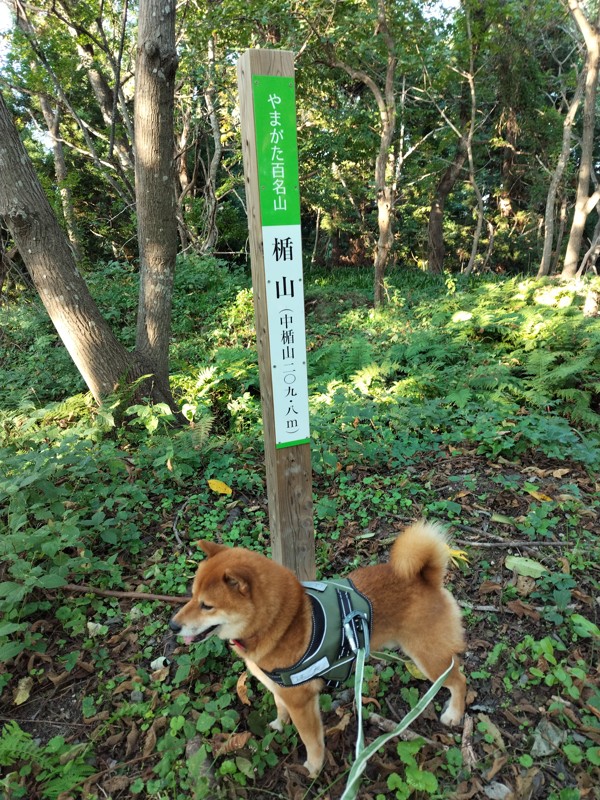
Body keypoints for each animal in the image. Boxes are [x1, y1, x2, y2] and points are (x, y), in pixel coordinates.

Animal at [169, 520, 464, 776]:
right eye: (192, 596)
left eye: (207, 605)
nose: (173, 626)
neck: (284, 622)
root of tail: (425, 577)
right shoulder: (280, 688)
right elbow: (280, 707)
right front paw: (279, 724)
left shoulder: (302, 702)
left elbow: (311, 739)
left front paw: (313, 767)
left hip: (428, 656)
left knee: (459, 680)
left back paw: (454, 713)